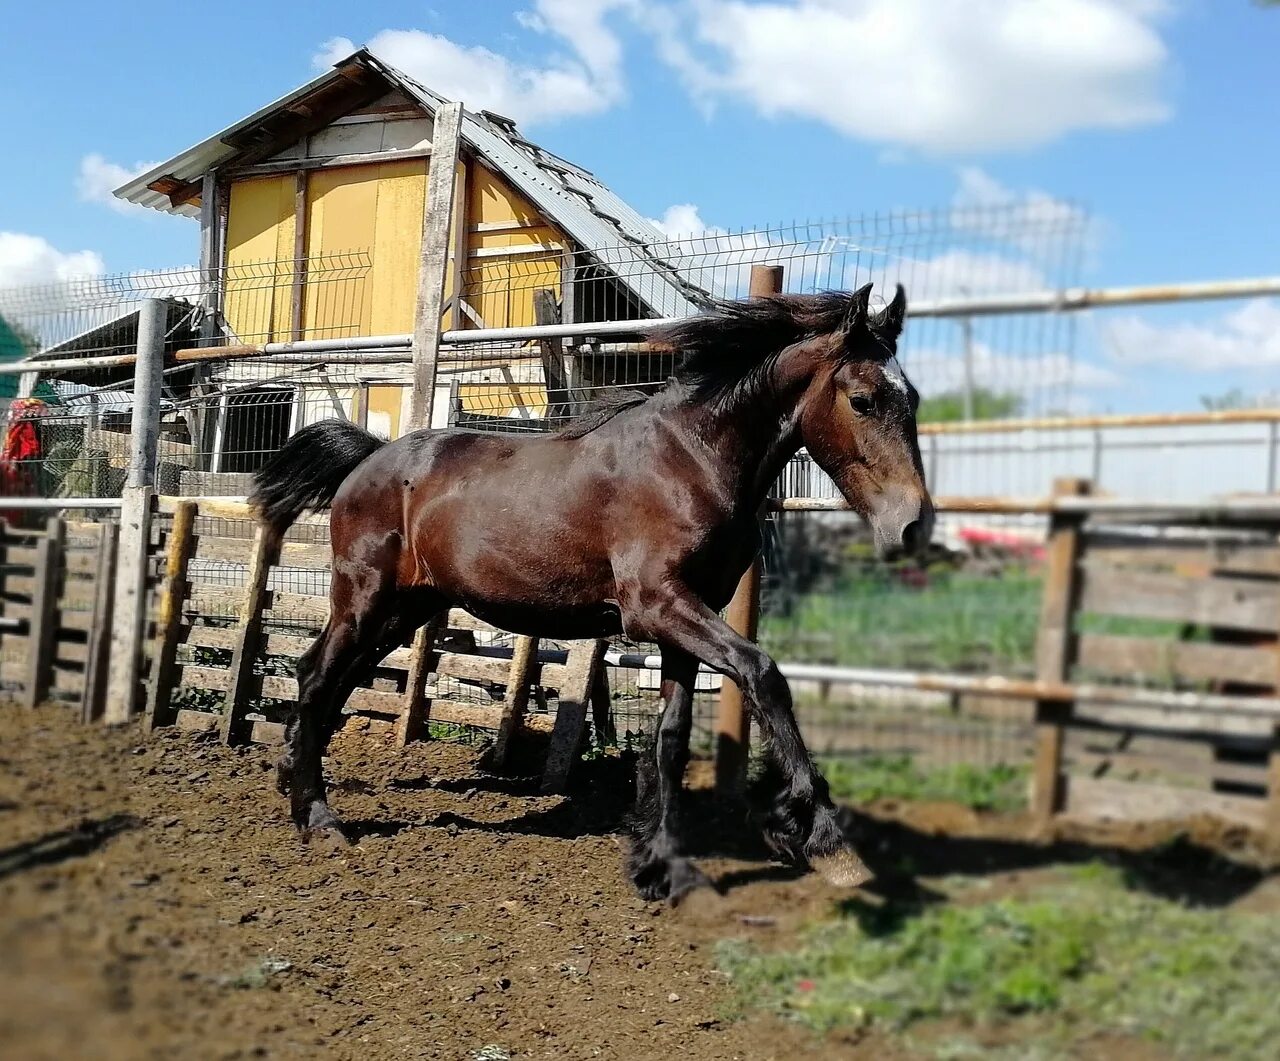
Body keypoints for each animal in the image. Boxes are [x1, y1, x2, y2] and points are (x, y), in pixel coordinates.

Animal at [249, 281, 931, 901]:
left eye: (915, 396)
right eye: (864, 399)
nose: (914, 525)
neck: (691, 460)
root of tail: (369, 459)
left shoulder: (686, 620)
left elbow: (671, 738)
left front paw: (662, 865)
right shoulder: (659, 606)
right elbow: (765, 675)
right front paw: (824, 841)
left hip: (405, 609)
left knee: (327, 679)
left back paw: (291, 782)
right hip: (366, 600)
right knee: (316, 680)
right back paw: (320, 819)